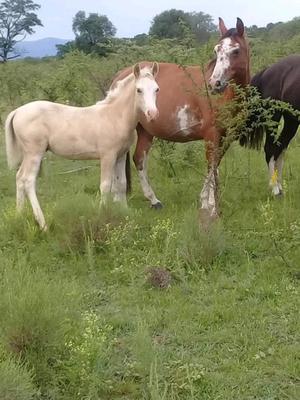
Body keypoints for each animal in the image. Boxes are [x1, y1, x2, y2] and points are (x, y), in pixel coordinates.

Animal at [4, 63, 159, 231]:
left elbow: (122, 184)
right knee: (28, 180)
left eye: (157, 89)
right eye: (139, 90)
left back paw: (19, 217)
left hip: (28, 154)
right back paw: (43, 225)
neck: (115, 116)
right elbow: (105, 186)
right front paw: (102, 216)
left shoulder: (120, 156)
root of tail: (17, 111)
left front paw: (126, 214)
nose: (152, 114)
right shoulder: (107, 156)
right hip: (34, 153)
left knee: (19, 178)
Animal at [240, 54, 300, 195]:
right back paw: (275, 189)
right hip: (273, 117)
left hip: (292, 120)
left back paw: (279, 186)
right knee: (270, 148)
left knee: (280, 148)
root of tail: (267, 70)